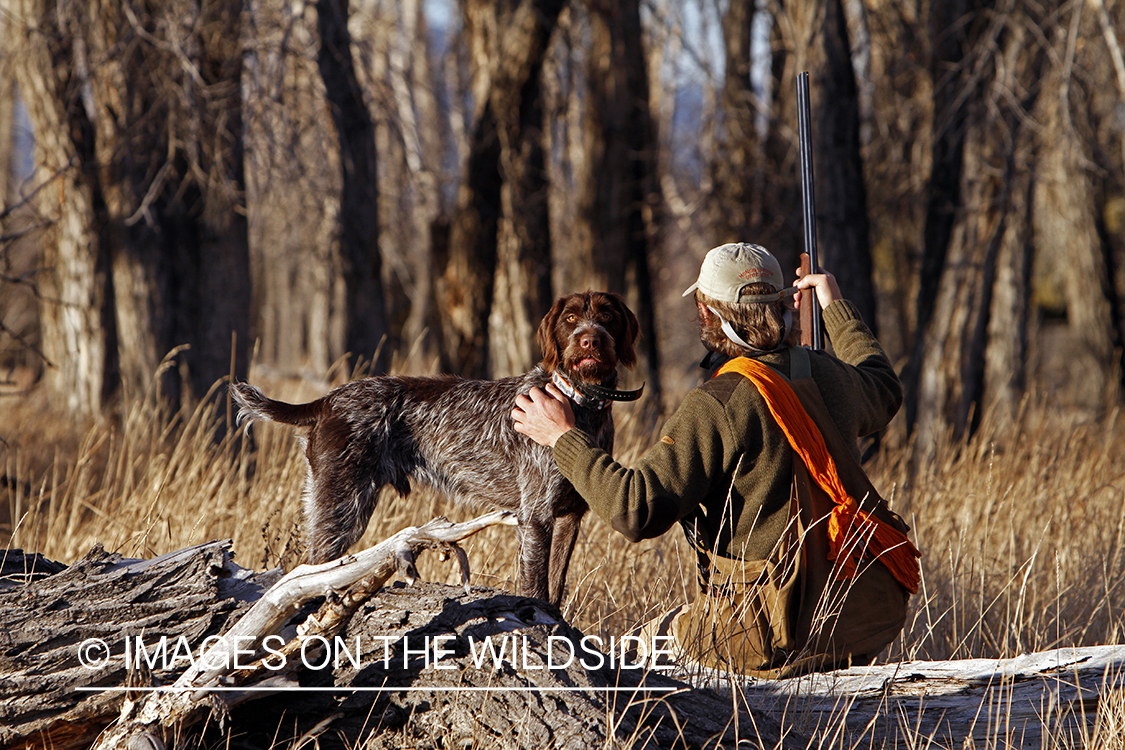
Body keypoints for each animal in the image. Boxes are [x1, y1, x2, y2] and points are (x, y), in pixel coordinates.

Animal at [231, 290, 639, 607]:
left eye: (606, 315)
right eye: (570, 318)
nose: (591, 339)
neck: (580, 404)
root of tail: (327, 401)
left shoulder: (570, 517)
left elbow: (554, 588)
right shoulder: (536, 517)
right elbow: (536, 588)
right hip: (342, 504)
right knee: (311, 568)